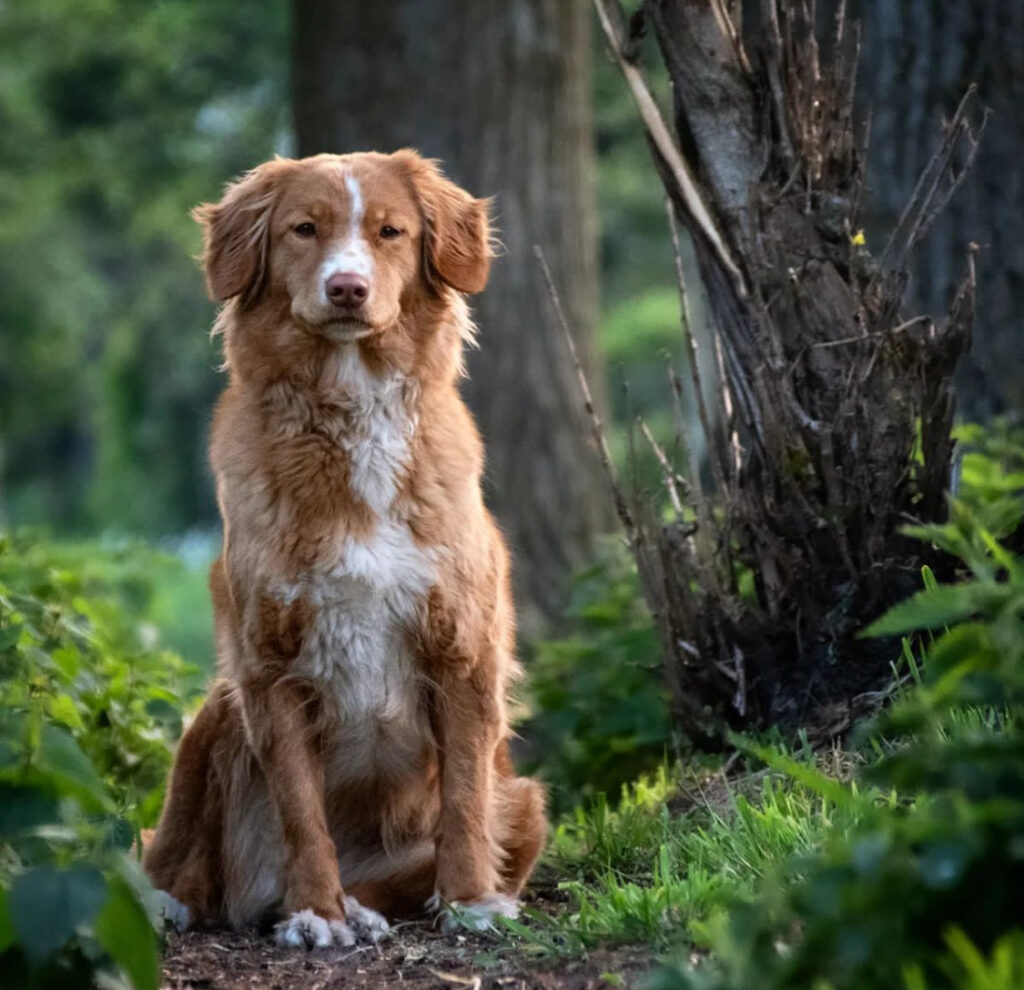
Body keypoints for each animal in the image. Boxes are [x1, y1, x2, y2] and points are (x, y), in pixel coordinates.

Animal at [144, 150, 548, 950]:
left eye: (390, 232)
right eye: (305, 229)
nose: (347, 288)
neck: (352, 407)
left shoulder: (463, 652)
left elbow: (463, 797)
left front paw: (471, 901)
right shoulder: (269, 668)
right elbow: (302, 810)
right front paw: (317, 914)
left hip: (525, 800)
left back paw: (366, 904)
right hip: (217, 711)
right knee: (177, 852)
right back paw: (173, 901)